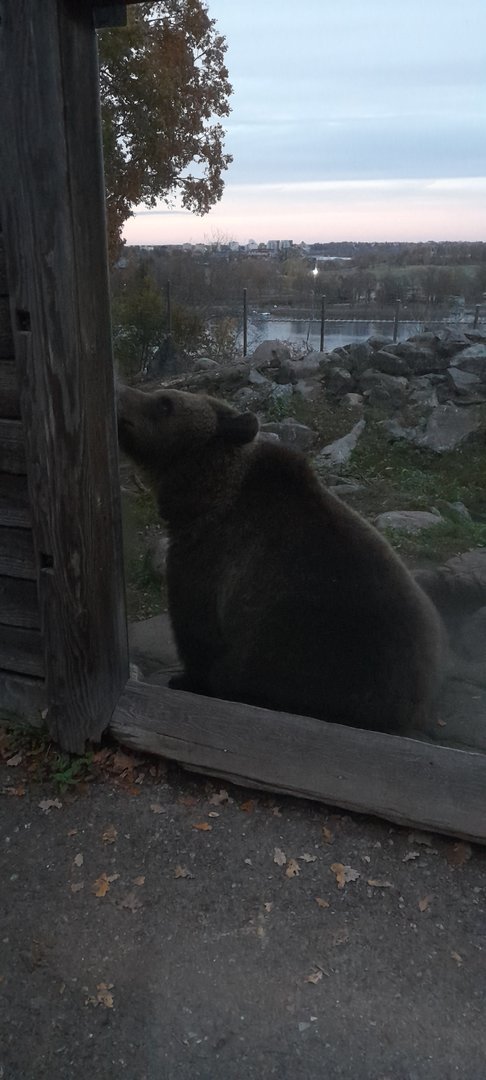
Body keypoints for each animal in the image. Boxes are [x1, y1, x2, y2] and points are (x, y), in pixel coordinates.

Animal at [117, 384, 442, 735]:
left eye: (165, 403)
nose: (120, 394)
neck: (205, 497)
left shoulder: (209, 561)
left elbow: (197, 632)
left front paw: (185, 680)